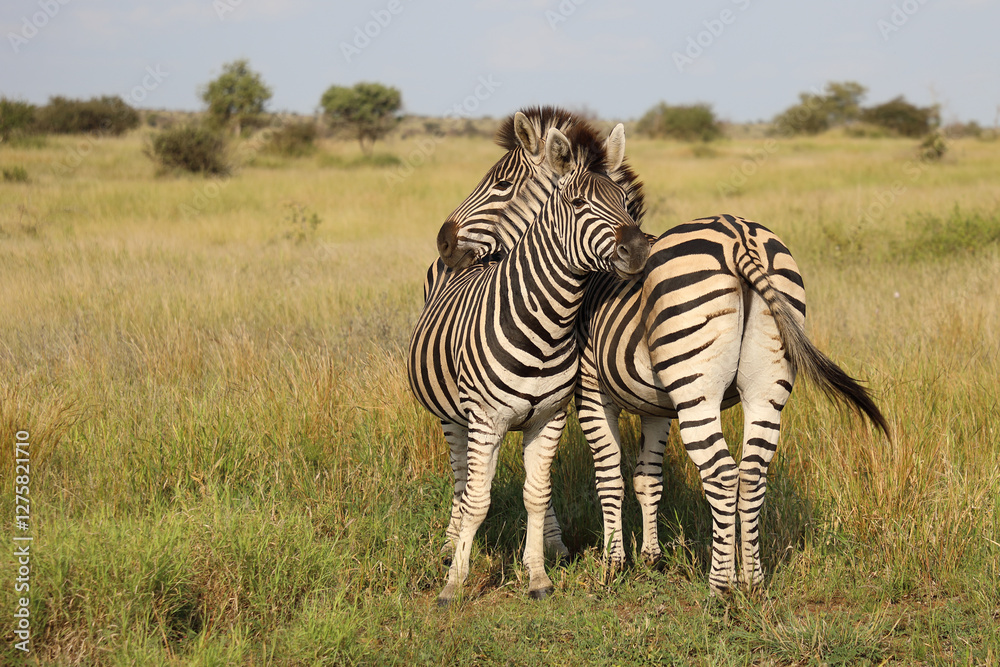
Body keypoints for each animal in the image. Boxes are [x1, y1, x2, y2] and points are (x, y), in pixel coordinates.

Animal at [407, 120, 648, 603]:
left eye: (623, 202)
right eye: (577, 204)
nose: (637, 249)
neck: (545, 323)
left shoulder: (549, 416)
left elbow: (536, 494)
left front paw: (537, 575)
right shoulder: (485, 420)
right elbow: (477, 499)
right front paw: (454, 584)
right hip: (450, 414)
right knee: (460, 476)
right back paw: (449, 542)